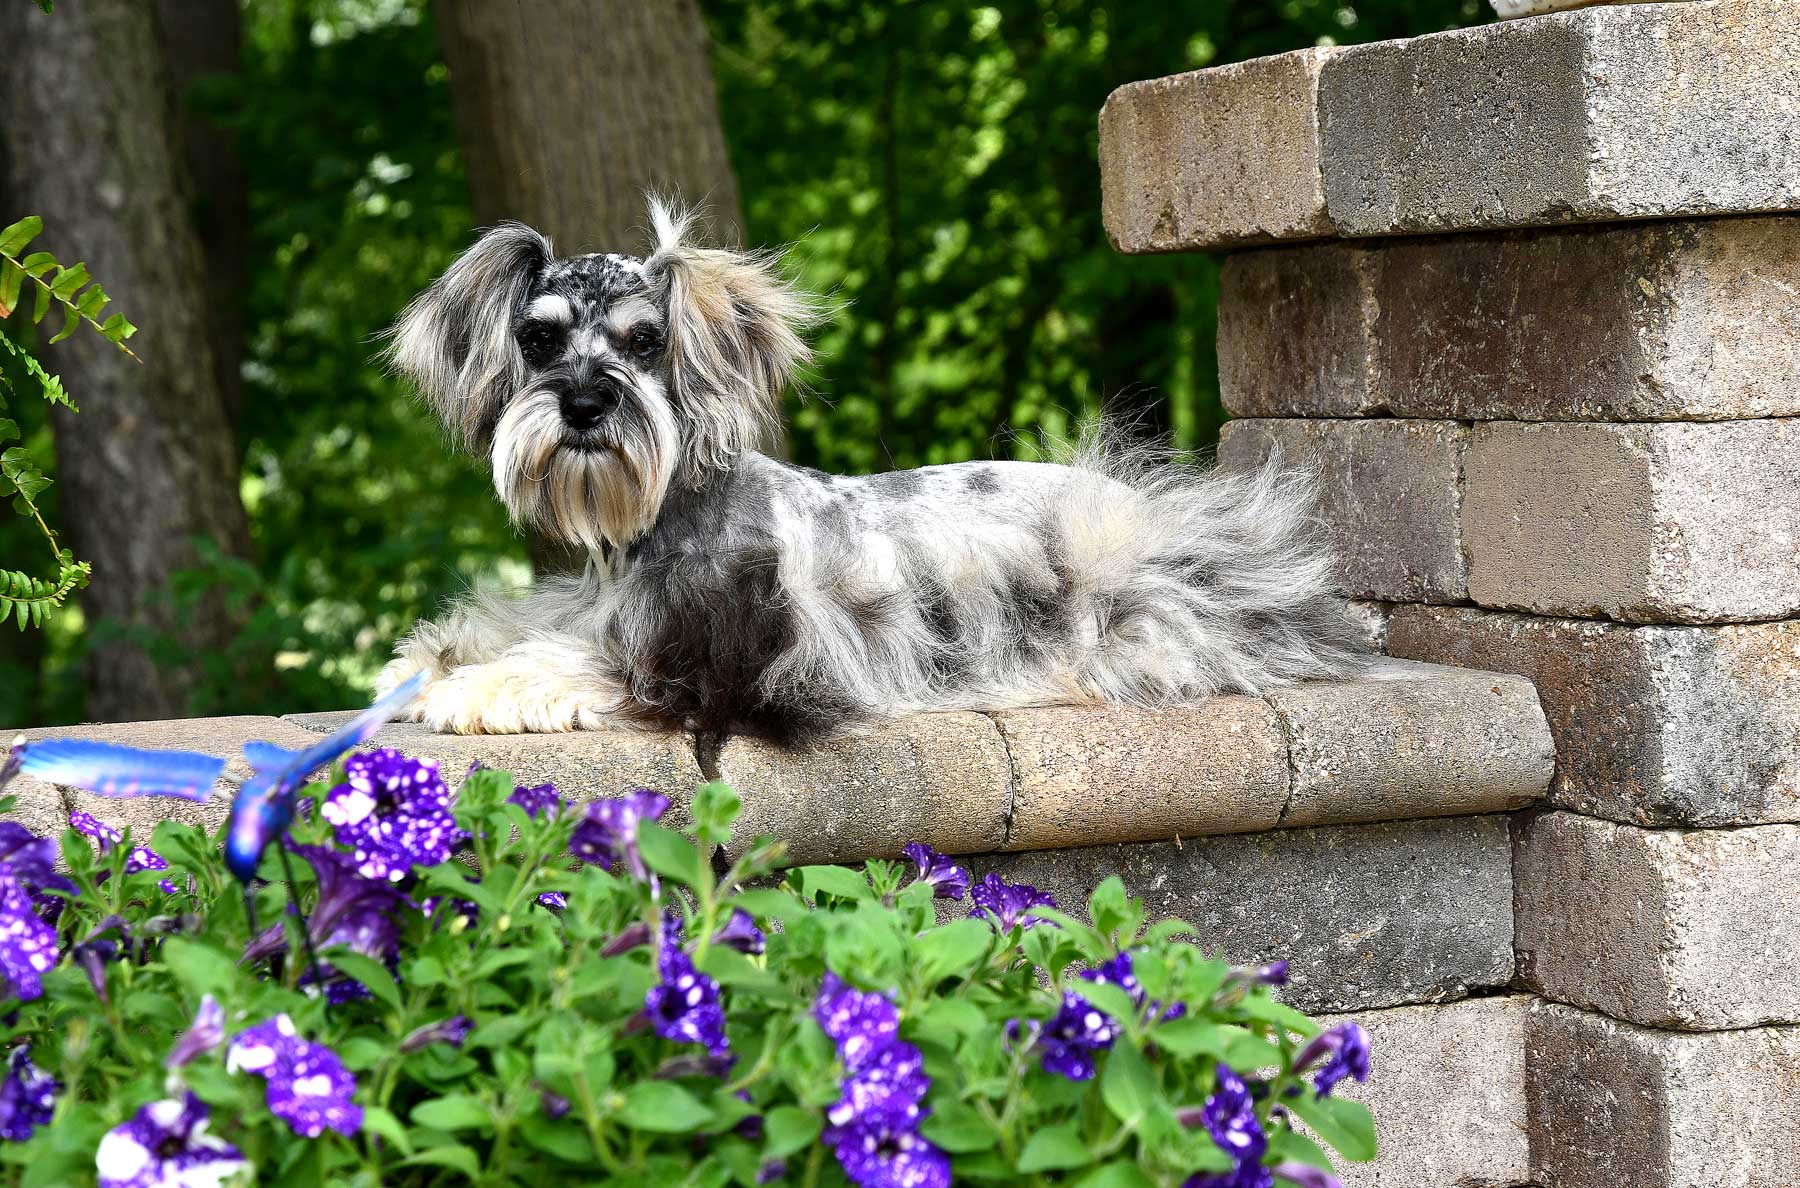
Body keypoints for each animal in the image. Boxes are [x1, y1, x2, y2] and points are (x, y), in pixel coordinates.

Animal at [375, 199, 1364, 743]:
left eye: (645, 341)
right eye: (539, 339)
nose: (583, 407)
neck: (663, 524)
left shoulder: (720, 660)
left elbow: (590, 662)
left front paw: (484, 687)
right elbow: (536, 623)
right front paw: (438, 654)